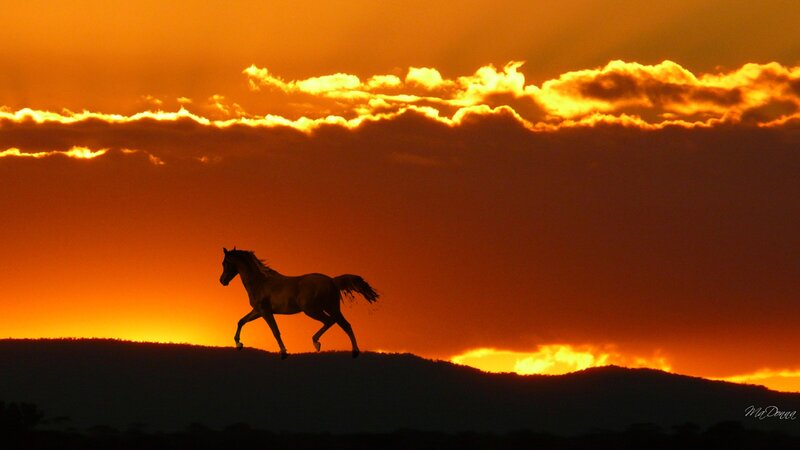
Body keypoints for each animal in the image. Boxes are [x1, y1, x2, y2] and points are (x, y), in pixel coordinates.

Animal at [218, 247, 379, 358]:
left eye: (225, 263)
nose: (222, 281)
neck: (260, 282)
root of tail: (332, 281)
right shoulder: (258, 311)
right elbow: (241, 321)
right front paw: (239, 344)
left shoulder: (265, 312)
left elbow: (275, 331)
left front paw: (284, 353)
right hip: (330, 308)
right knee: (344, 325)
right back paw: (350, 351)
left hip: (313, 310)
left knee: (332, 322)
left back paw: (318, 343)